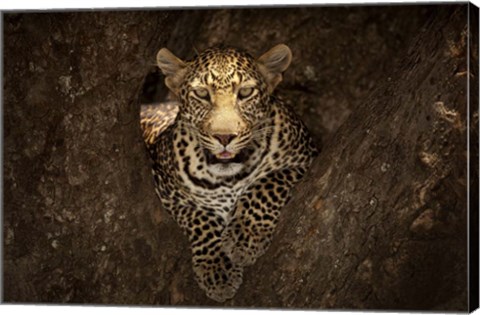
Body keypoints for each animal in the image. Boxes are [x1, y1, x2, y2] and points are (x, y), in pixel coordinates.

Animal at [140, 44, 318, 304]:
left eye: (245, 92)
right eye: (202, 94)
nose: (224, 137)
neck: (228, 179)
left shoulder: (305, 159)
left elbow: (266, 183)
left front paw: (244, 237)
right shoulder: (167, 190)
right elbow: (200, 218)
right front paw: (218, 270)